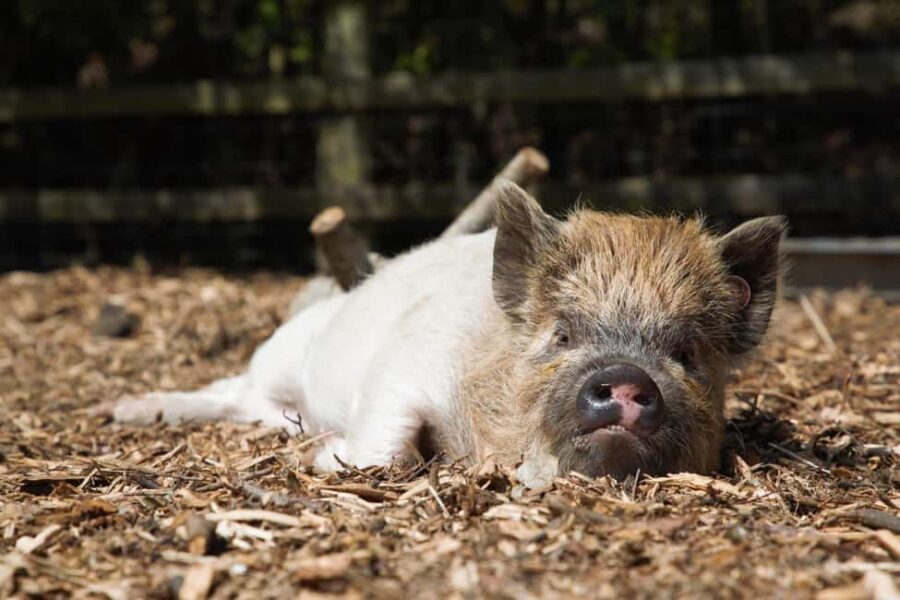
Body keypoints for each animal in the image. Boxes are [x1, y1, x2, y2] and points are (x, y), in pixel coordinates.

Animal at [114, 181, 786, 481]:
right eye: (563, 335)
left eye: (686, 352)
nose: (624, 377)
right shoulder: (404, 364)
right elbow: (387, 447)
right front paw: (326, 460)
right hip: (281, 352)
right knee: (228, 387)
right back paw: (124, 410)